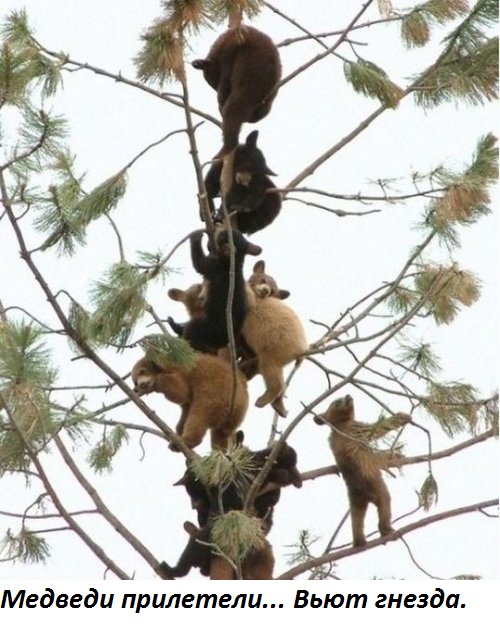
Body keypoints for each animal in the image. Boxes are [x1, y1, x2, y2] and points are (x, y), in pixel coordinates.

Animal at [191, 27, 282, 157]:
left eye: (211, 81)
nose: (214, 87)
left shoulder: (227, 56)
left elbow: (225, 83)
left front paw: (221, 102)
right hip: (269, 93)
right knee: (261, 112)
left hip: (249, 83)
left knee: (233, 111)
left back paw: (226, 148)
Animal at [314, 392, 412, 548]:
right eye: (337, 401)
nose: (348, 395)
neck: (338, 425)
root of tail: (365, 495)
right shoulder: (355, 428)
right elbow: (378, 428)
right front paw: (402, 417)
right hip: (377, 486)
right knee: (385, 504)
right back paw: (387, 530)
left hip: (354, 499)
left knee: (356, 518)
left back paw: (359, 541)